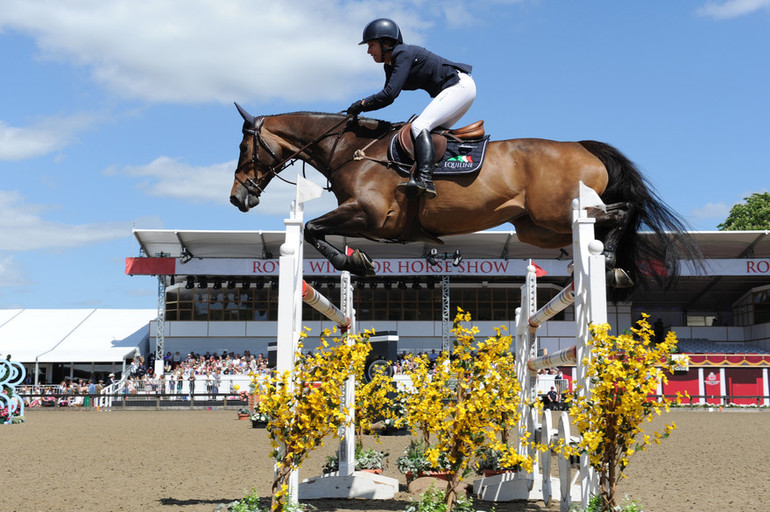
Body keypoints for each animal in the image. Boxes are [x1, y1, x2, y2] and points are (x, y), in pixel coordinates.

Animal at [226, 104, 696, 298]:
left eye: (244, 147)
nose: (237, 197)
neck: (351, 150)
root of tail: (583, 147)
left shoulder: (370, 215)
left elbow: (311, 228)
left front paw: (355, 262)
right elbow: (313, 230)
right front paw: (358, 261)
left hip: (557, 212)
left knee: (620, 213)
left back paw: (612, 263)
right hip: (538, 228)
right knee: (605, 220)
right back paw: (613, 267)